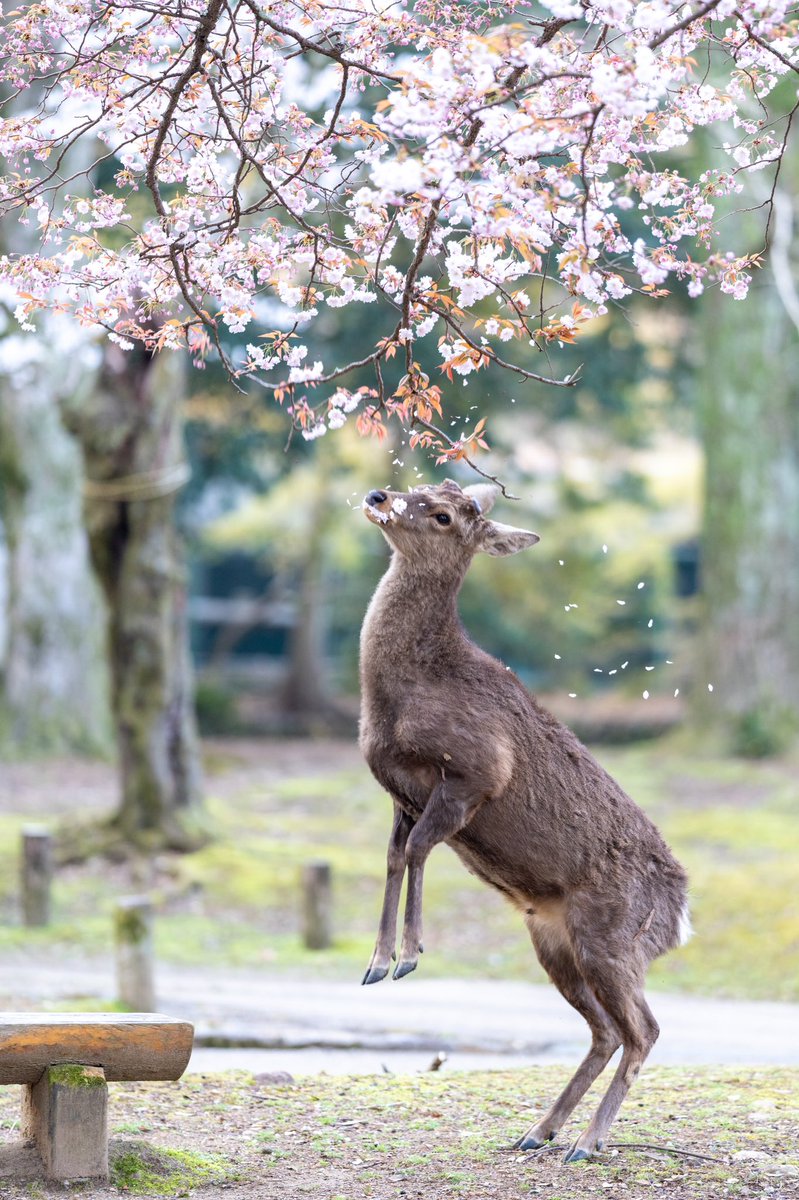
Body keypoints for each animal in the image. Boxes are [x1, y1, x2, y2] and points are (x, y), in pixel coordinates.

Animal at [358, 478, 691, 1163]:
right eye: (422, 483)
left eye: (443, 514)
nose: (378, 494)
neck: (393, 701)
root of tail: (681, 918)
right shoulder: (401, 795)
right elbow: (395, 857)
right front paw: (377, 961)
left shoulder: (477, 771)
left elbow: (419, 851)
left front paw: (409, 955)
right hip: (553, 941)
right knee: (606, 1030)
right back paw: (539, 1131)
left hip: (612, 938)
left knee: (644, 1028)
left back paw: (587, 1142)